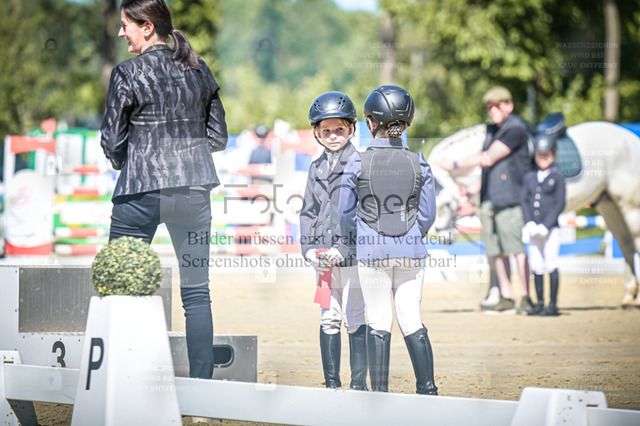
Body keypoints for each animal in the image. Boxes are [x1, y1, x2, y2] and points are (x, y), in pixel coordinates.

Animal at [427, 120, 640, 308]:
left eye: (445, 204)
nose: (444, 238)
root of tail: (630, 138)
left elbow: (496, 257)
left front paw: (495, 298)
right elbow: (492, 256)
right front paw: (493, 298)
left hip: (630, 207)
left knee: (634, 241)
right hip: (609, 205)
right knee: (626, 244)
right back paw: (628, 296)